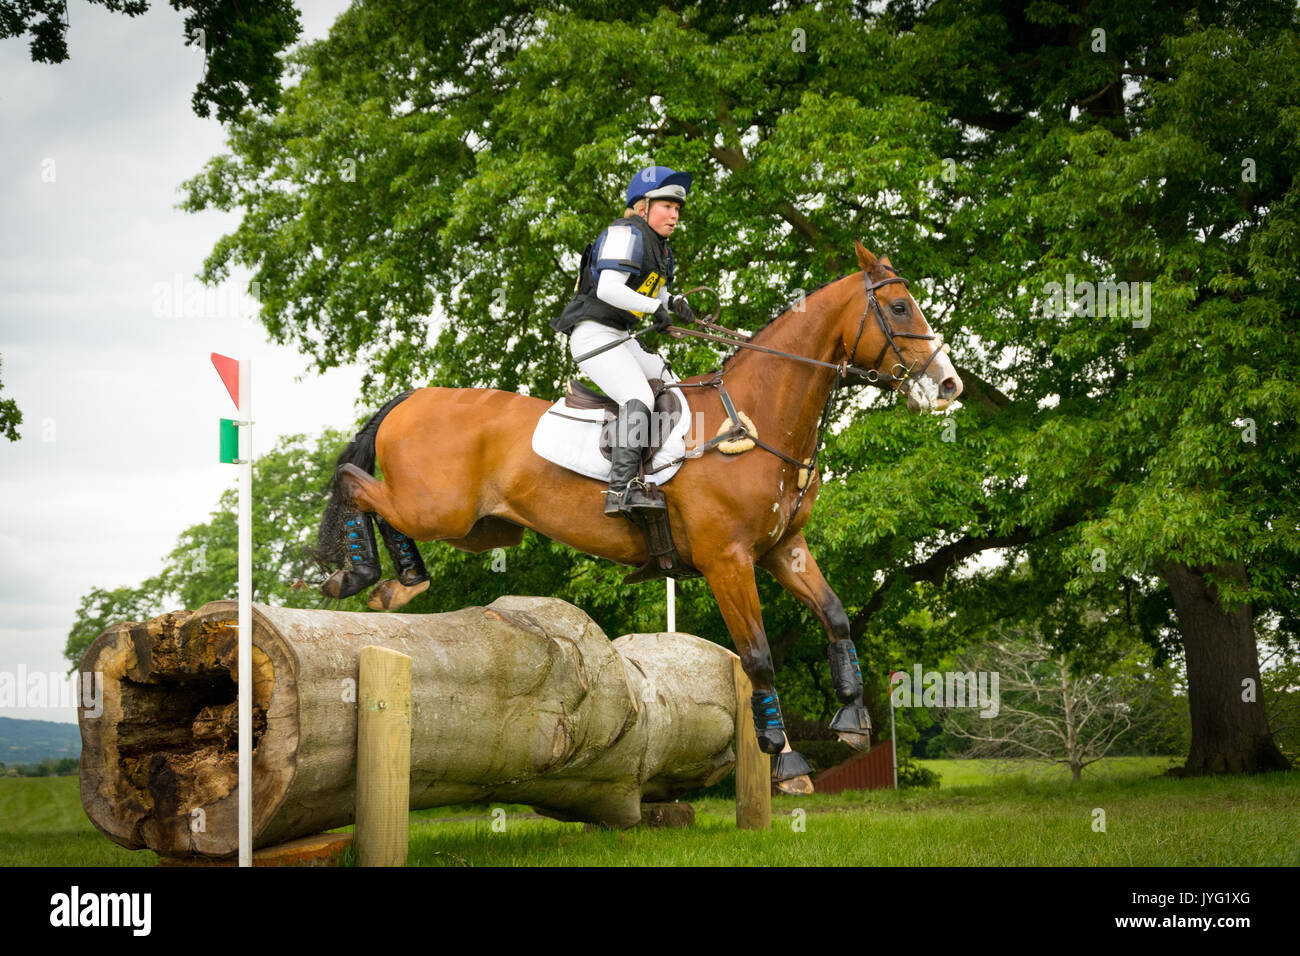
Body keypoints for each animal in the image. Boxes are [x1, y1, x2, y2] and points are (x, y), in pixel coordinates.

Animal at [315, 243, 967, 796]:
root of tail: (416, 396)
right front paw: (784, 760)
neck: (756, 418)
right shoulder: (728, 561)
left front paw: (852, 718)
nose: (949, 385)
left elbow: (834, 617)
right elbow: (757, 655)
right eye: (899, 306)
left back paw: (402, 584)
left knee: (382, 504)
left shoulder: (783, 549)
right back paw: (357, 575)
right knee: (353, 481)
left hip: (477, 527)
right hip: (438, 507)